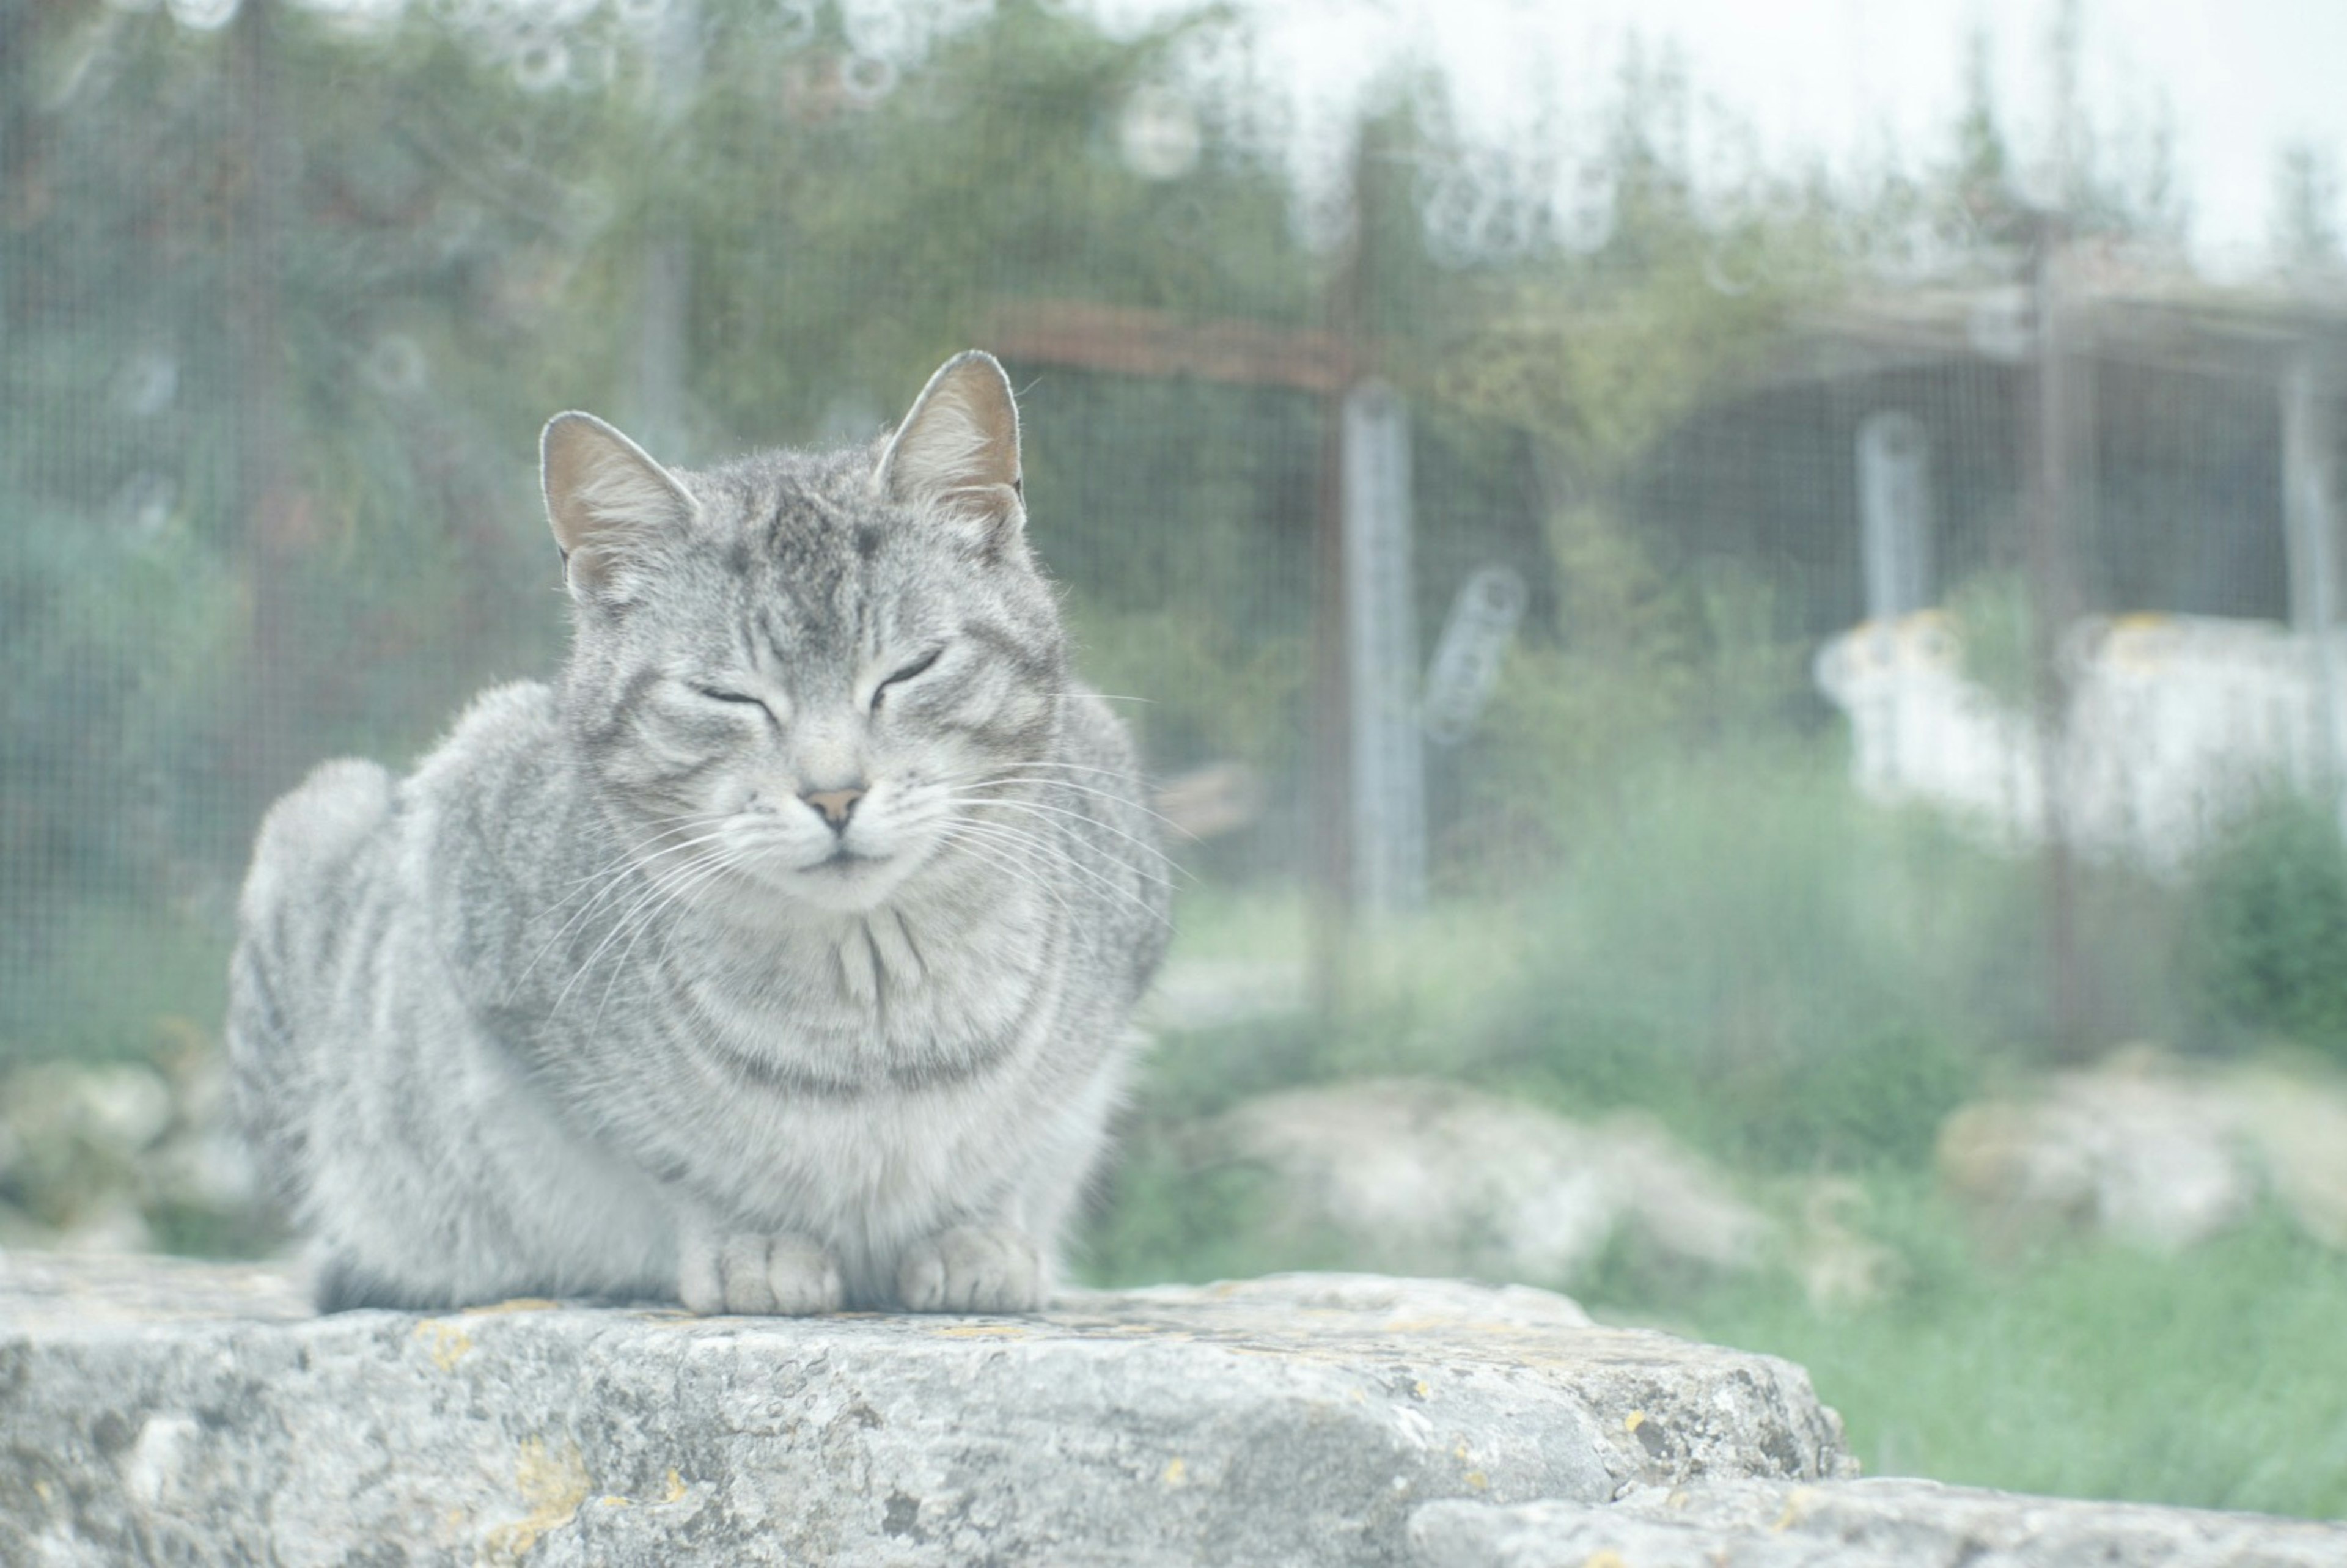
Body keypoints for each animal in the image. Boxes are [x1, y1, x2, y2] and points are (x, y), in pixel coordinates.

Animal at [229, 352, 1164, 1314]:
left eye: (910, 670)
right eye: (728, 696)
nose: (835, 794)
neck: (872, 999)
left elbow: (1013, 1150)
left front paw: (977, 1232)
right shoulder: (471, 866)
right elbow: (667, 1163)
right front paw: (754, 1241)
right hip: (319, 835)